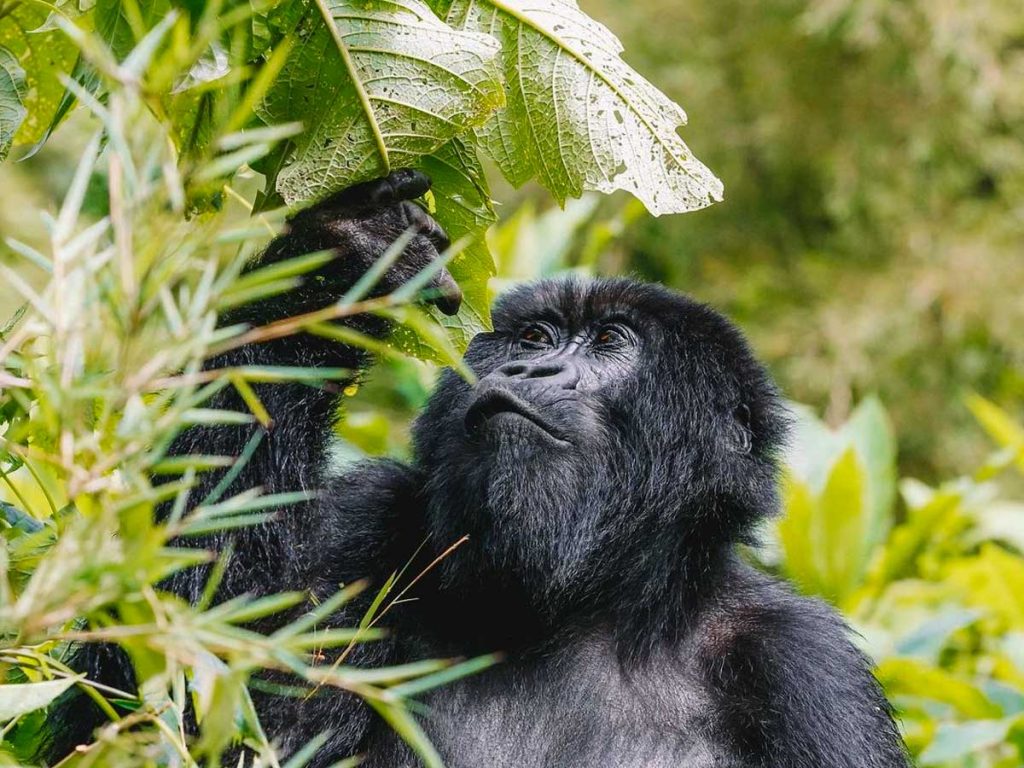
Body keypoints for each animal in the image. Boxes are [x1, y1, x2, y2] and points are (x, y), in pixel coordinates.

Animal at [51, 171, 909, 765]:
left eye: (610, 342)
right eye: (533, 338)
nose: (531, 371)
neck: (583, 610)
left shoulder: (807, 672)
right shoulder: (368, 522)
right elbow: (177, 697)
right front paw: (346, 253)